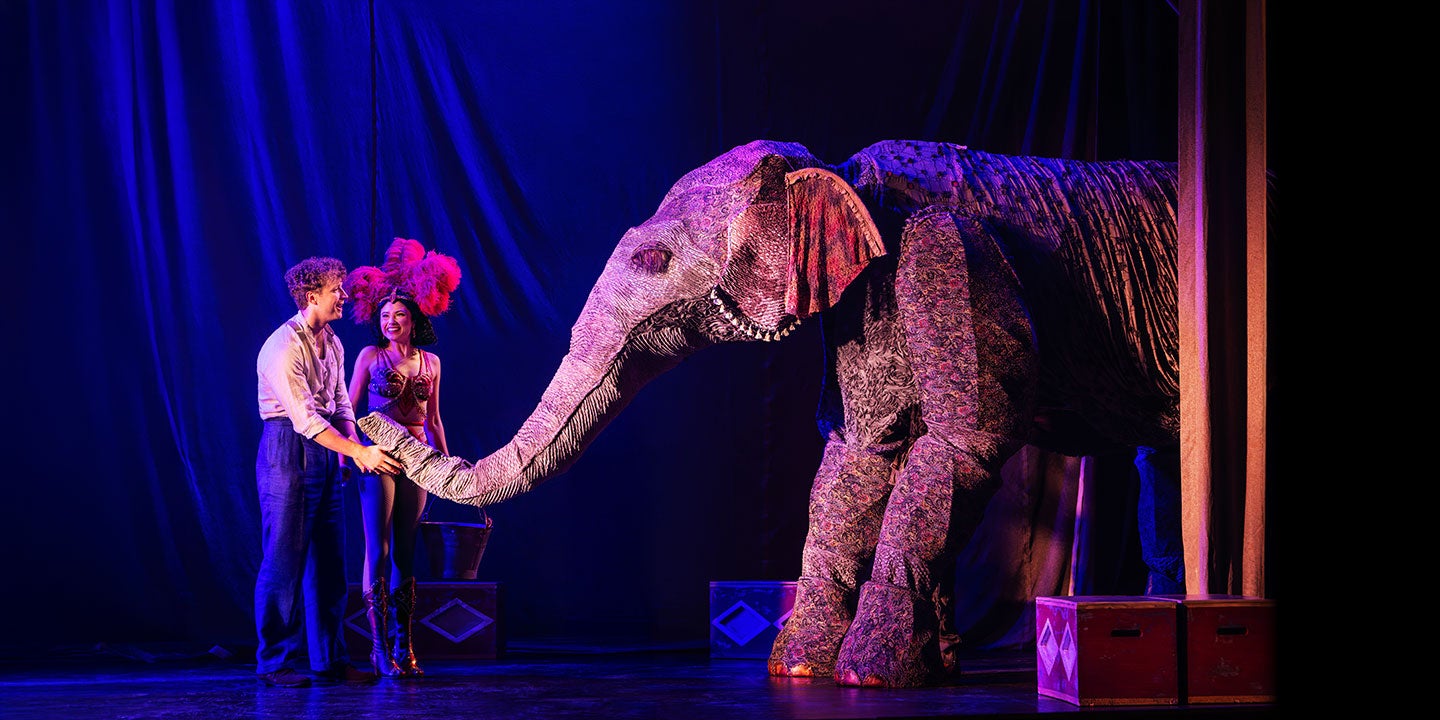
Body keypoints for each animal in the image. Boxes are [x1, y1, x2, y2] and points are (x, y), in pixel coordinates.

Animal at [359, 139, 1181, 687]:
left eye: (653, 261)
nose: (372, 426)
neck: (840, 176)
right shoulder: (860, 301)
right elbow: (861, 448)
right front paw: (799, 670)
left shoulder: (950, 252)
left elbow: (964, 439)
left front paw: (867, 676)